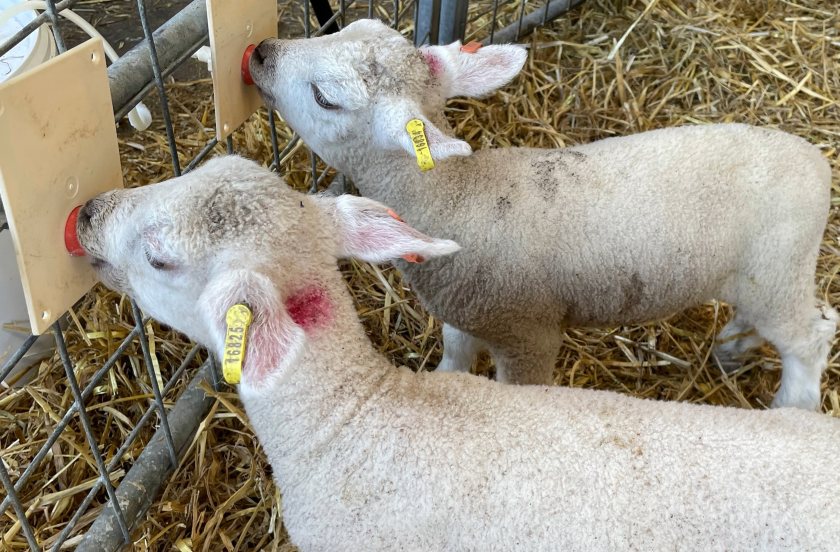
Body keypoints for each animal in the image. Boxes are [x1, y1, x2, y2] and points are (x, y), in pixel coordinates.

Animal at [246, 18, 837, 410]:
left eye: (325, 98)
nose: (260, 51)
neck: (455, 197)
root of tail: (816, 161)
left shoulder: (527, 333)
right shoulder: (468, 307)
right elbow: (455, 353)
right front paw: (443, 379)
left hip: (777, 270)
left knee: (811, 338)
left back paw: (792, 408)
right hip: (761, 278)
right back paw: (734, 349)